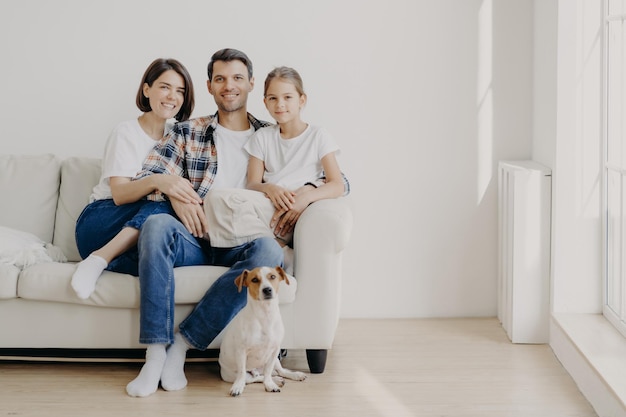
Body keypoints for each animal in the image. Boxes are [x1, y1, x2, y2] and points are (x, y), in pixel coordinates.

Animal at [218, 264, 306, 394]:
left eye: (273, 276)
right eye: (254, 279)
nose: (267, 289)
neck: (265, 315)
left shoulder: (275, 351)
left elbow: (268, 372)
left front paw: (270, 384)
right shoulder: (241, 351)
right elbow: (242, 373)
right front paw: (237, 387)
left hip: (276, 360)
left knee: (279, 371)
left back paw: (294, 375)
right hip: (234, 375)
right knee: (255, 377)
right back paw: (276, 380)